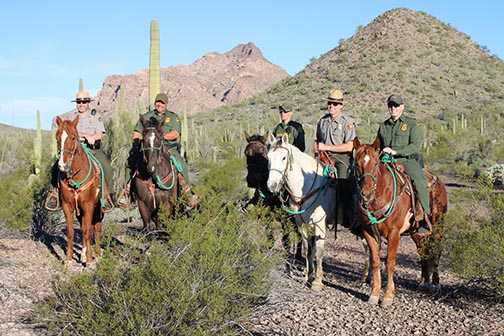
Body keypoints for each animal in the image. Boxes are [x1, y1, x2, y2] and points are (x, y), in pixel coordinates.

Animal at [54, 115, 107, 266]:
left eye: (73, 138)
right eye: (57, 137)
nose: (62, 165)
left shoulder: (88, 205)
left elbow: (88, 231)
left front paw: (89, 260)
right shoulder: (68, 206)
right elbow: (71, 231)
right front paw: (68, 259)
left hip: (98, 209)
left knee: (96, 229)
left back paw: (97, 255)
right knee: (84, 226)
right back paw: (83, 254)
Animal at [266, 133, 336, 290]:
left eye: (283, 158)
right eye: (268, 157)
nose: (272, 185)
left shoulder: (319, 224)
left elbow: (319, 250)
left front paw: (317, 281)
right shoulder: (301, 222)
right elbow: (307, 247)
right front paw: (308, 276)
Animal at [352, 136, 446, 308]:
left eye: (375, 163)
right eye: (356, 164)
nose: (366, 194)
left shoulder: (394, 233)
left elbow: (390, 262)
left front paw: (388, 296)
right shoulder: (368, 232)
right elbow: (375, 261)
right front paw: (374, 294)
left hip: (437, 224)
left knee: (436, 250)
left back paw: (436, 284)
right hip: (416, 232)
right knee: (423, 251)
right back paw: (424, 282)